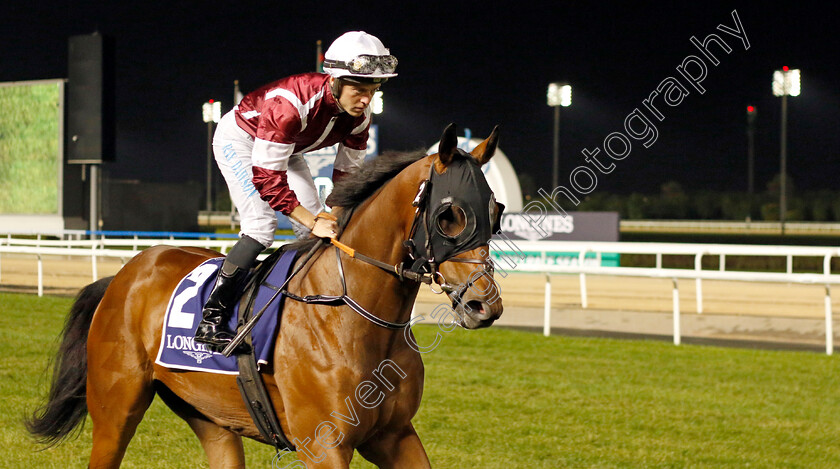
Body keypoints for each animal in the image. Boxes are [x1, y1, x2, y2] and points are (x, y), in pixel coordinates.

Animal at [27, 122, 506, 466]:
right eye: (449, 215)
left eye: (496, 211)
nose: (485, 304)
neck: (351, 314)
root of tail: (122, 276)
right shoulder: (325, 444)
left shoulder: (394, 435)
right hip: (116, 408)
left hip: (210, 417)